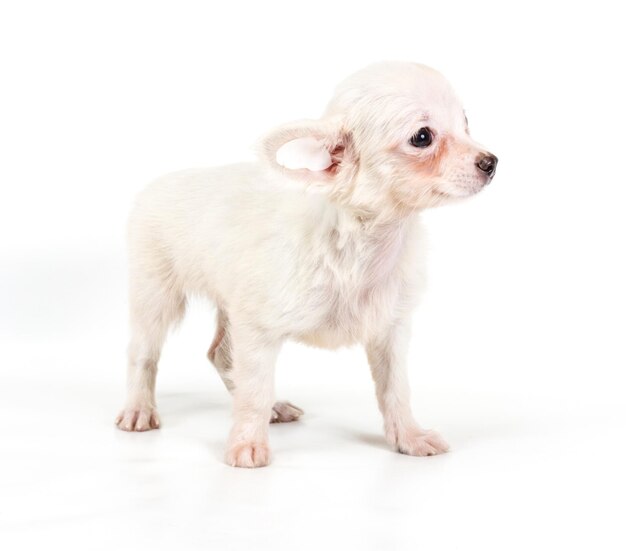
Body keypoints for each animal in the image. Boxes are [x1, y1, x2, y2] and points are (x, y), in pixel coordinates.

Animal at [116, 60, 498, 468]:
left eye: (465, 124)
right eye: (422, 137)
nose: (491, 162)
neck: (366, 241)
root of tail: (158, 183)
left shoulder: (390, 329)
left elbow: (395, 390)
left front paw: (409, 437)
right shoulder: (257, 330)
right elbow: (254, 390)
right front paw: (247, 443)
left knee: (220, 354)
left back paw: (275, 408)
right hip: (156, 296)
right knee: (143, 353)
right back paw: (139, 409)